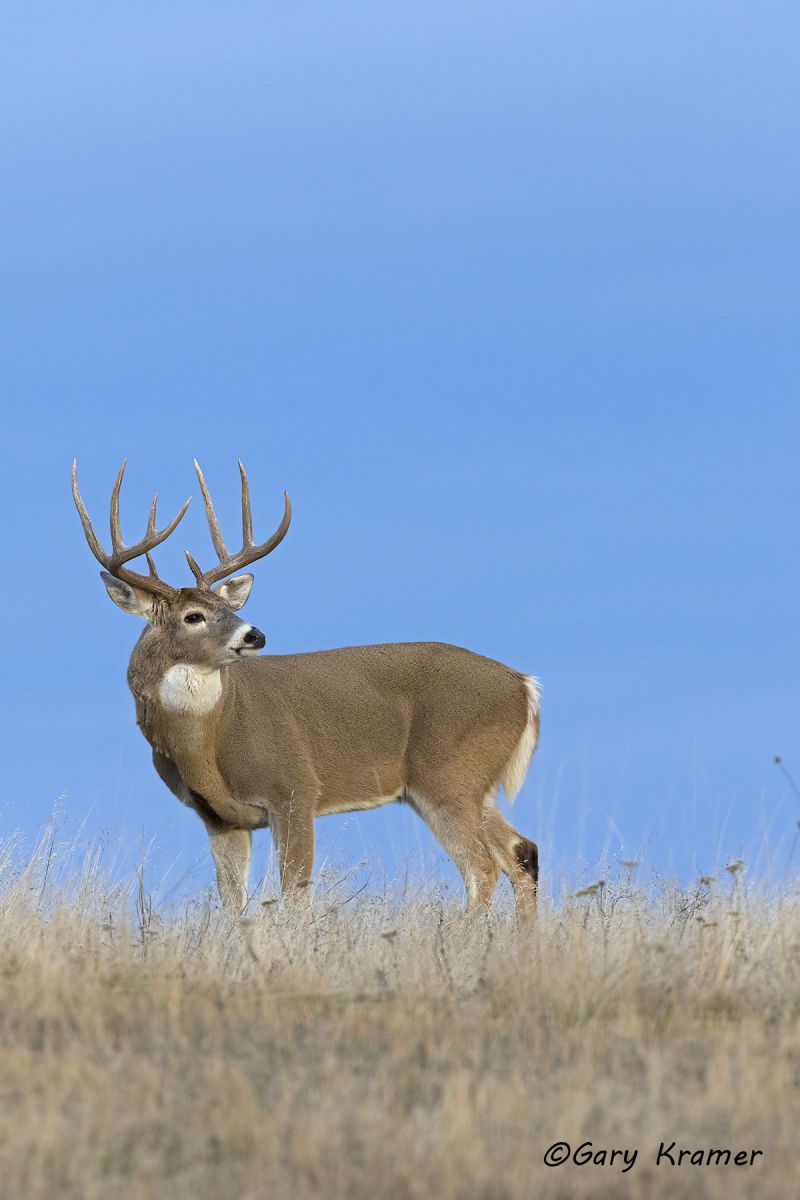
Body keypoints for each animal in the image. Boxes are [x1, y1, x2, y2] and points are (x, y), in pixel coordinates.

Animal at [72, 460, 541, 918]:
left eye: (227, 606)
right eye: (193, 616)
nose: (254, 634)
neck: (207, 745)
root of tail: (523, 685)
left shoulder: (294, 788)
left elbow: (295, 897)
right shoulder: (221, 817)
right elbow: (233, 906)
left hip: (448, 774)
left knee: (483, 868)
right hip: (474, 785)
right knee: (522, 853)